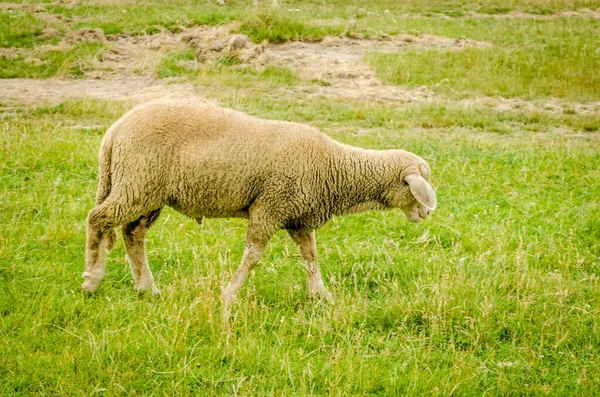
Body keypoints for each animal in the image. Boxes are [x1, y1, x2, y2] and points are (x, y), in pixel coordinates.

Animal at [82, 100, 434, 322]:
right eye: (414, 186)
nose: (427, 214)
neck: (333, 167)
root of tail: (114, 131)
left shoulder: (298, 217)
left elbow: (311, 257)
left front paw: (321, 295)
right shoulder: (269, 206)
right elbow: (253, 255)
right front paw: (228, 296)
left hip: (147, 190)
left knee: (132, 233)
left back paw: (147, 288)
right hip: (137, 182)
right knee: (97, 220)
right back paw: (91, 281)